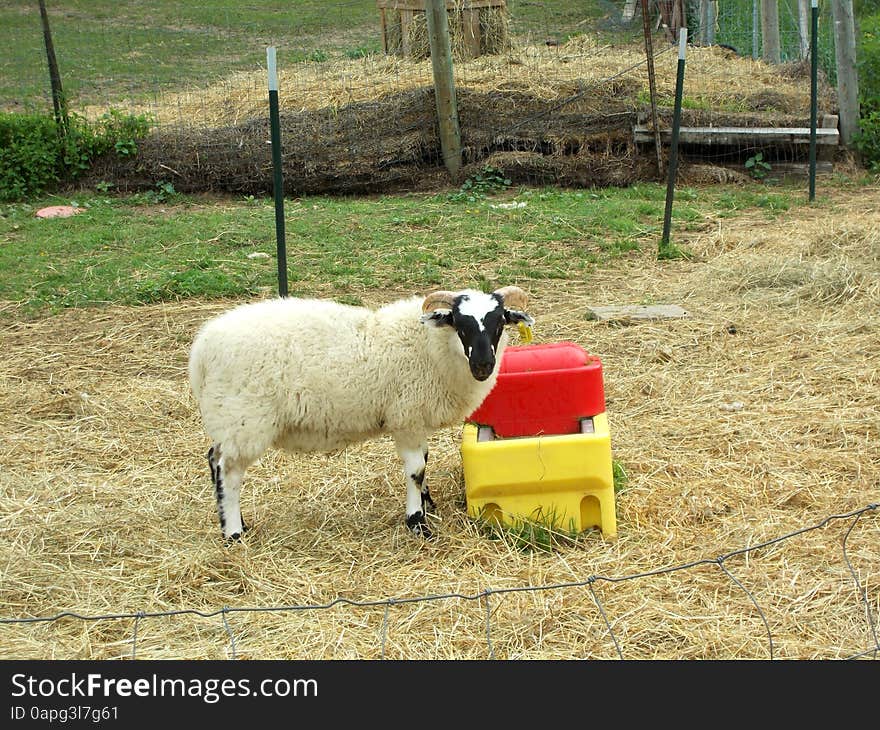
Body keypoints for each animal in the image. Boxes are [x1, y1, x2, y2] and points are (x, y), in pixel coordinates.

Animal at [188, 284, 532, 540]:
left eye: (499, 322)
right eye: (460, 325)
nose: (483, 365)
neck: (430, 347)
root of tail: (202, 348)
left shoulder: (415, 419)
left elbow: (425, 461)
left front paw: (427, 504)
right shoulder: (406, 417)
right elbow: (416, 470)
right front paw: (417, 522)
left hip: (228, 419)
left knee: (213, 459)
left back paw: (234, 523)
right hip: (244, 418)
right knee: (229, 472)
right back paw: (234, 533)